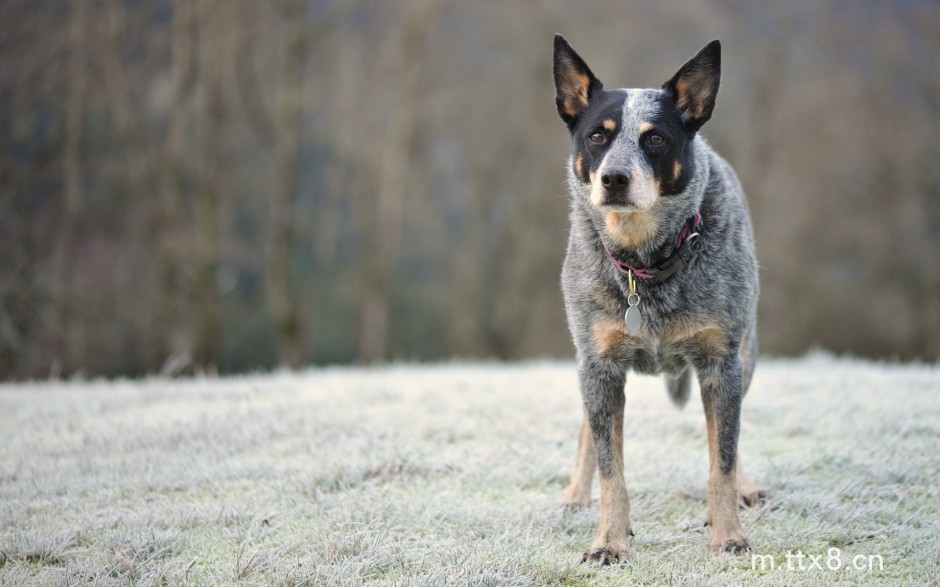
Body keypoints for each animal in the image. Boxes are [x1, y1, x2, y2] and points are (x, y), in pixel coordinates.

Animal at [556, 33, 768, 564]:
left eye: (654, 138)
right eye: (598, 136)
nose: (614, 178)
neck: (645, 264)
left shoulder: (721, 362)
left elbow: (722, 459)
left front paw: (728, 534)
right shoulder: (599, 366)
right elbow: (611, 469)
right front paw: (609, 541)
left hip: (747, 355)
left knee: (729, 437)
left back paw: (744, 491)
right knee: (588, 432)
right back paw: (575, 495)